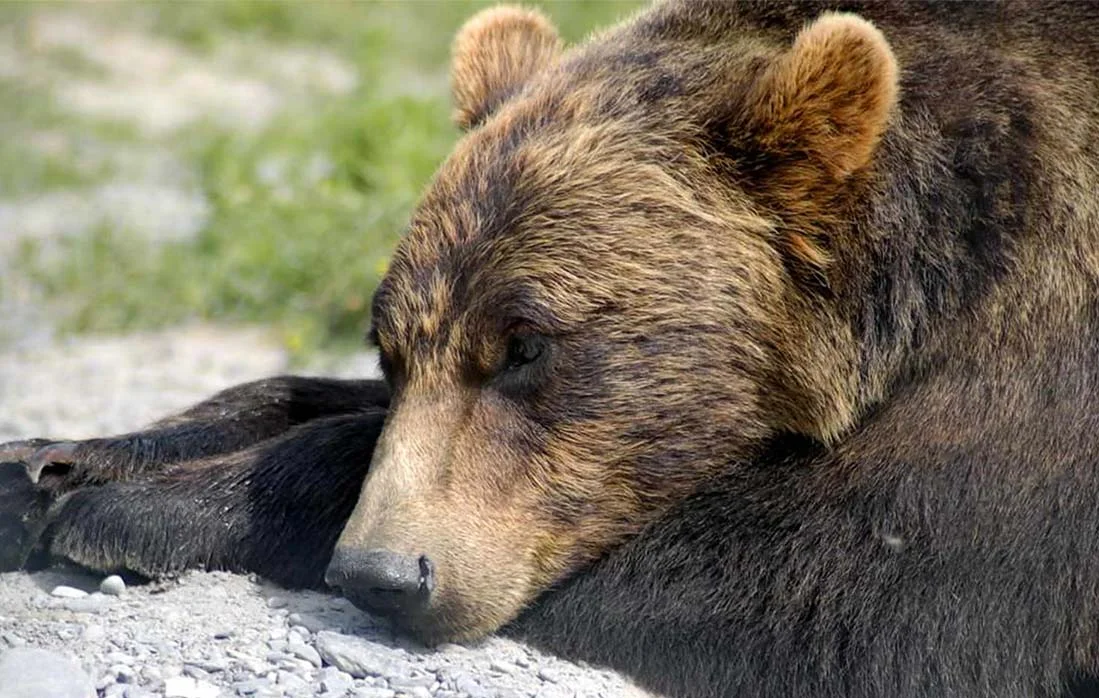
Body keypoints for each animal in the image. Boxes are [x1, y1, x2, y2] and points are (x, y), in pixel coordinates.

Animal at [3, 1, 1099, 696]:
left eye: (527, 345)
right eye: (389, 345)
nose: (384, 572)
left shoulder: (1035, 387)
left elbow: (838, 581)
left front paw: (140, 507)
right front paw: (49, 465)